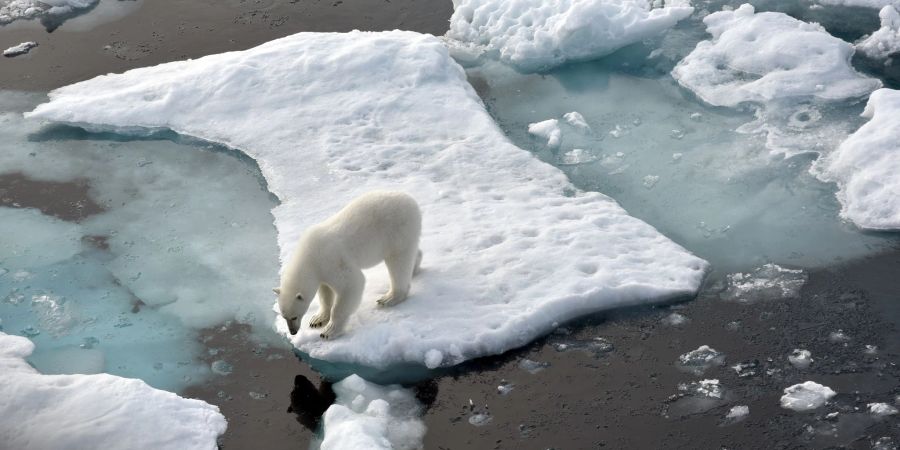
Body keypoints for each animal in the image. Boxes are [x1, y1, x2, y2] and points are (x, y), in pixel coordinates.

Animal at [272, 189, 424, 338]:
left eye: (294, 316)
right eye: (284, 316)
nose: (293, 332)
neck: (309, 256)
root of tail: (411, 200)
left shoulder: (331, 260)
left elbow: (351, 284)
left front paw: (329, 331)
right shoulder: (321, 271)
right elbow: (325, 292)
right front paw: (317, 319)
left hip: (397, 230)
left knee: (398, 262)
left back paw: (389, 297)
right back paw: (414, 268)